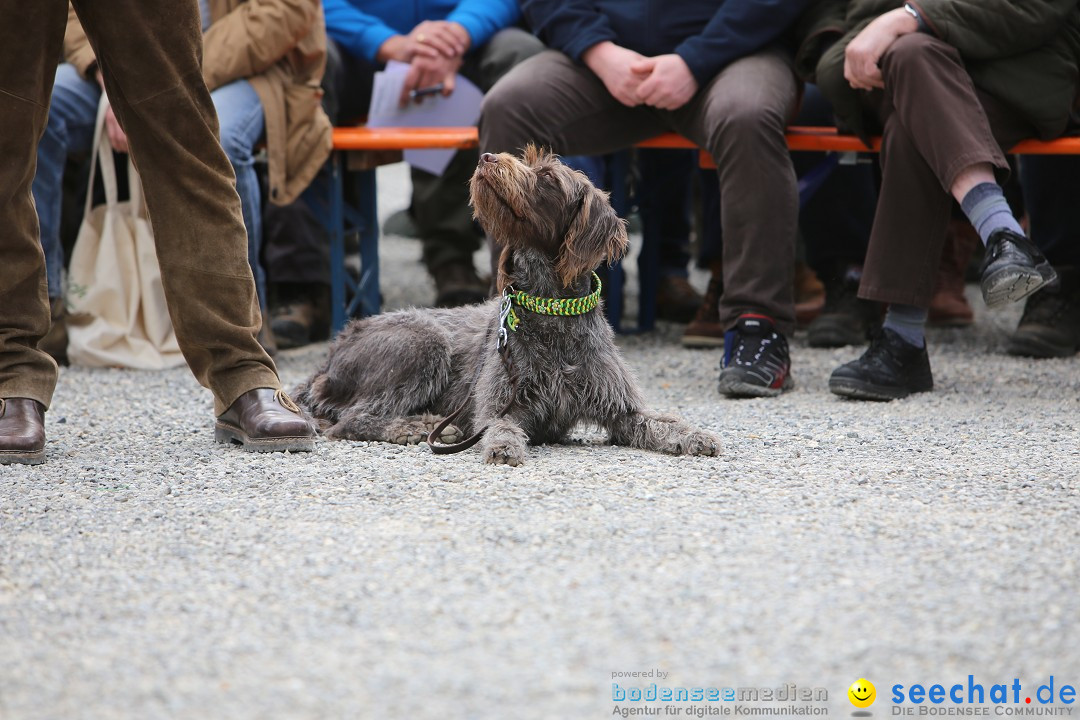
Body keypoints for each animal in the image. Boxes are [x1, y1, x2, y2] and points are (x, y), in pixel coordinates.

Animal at [291, 146, 721, 468]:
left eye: (548, 178)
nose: (486, 157)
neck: (550, 309)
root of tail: (331, 353)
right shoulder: (500, 405)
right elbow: (501, 426)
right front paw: (503, 446)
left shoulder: (621, 410)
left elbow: (661, 422)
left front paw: (695, 434)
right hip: (424, 342)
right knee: (351, 420)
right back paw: (413, 427)